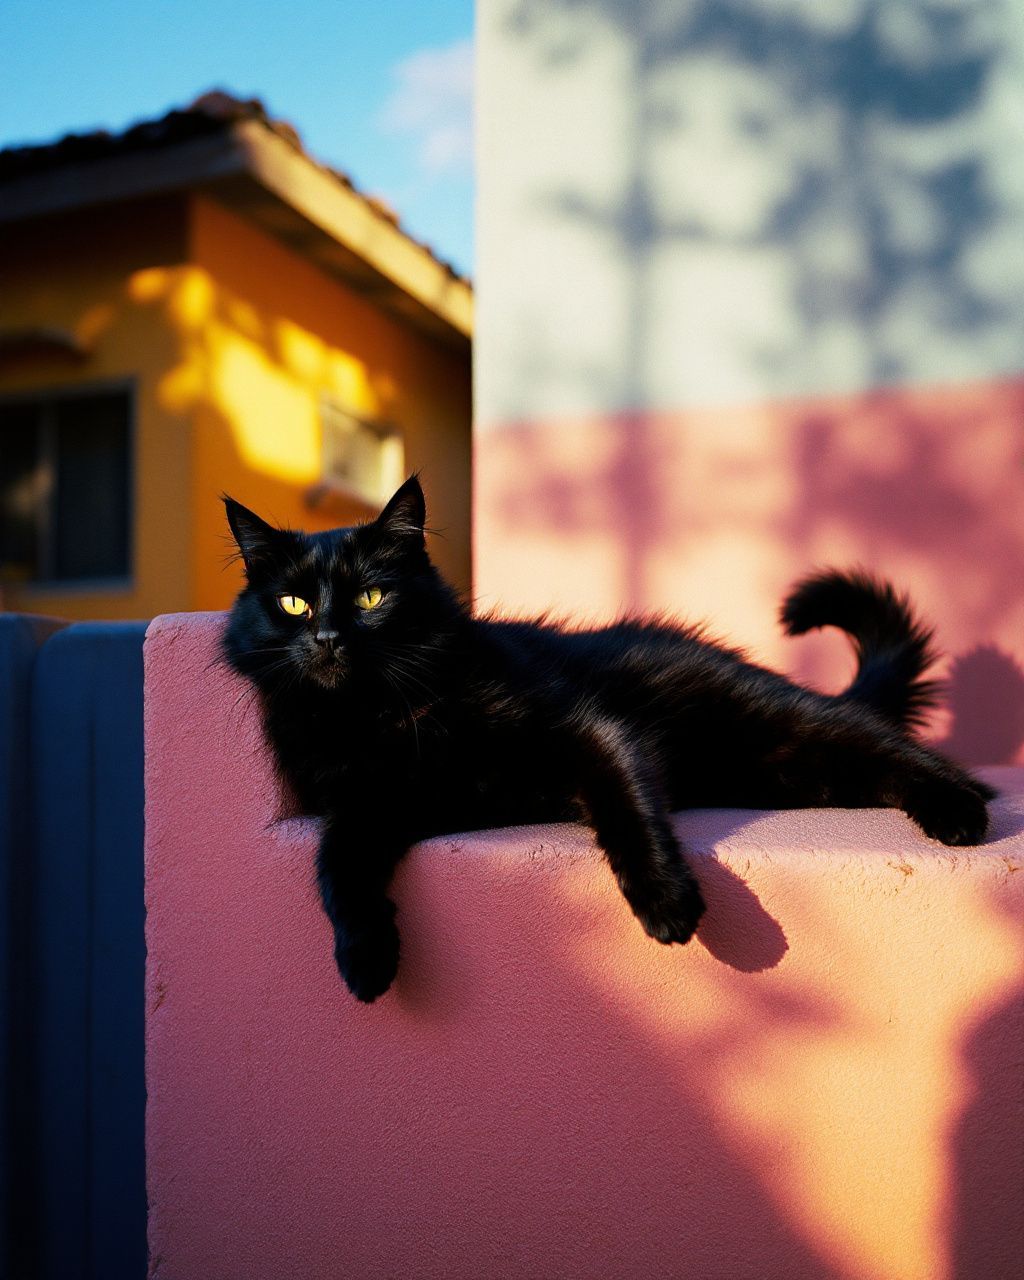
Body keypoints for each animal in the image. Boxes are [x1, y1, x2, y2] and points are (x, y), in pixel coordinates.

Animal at [221, 478, 993, 998]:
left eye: (370, 598)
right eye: (292, 602)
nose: (326, 637)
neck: (380, 715)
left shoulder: (584, 730)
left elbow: (626, 809)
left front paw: (667, 903)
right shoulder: (366, 804)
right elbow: (334, 869)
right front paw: (365, 960)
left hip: (783, 725)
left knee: (905, 750)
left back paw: (960, 812)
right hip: (789, 770)